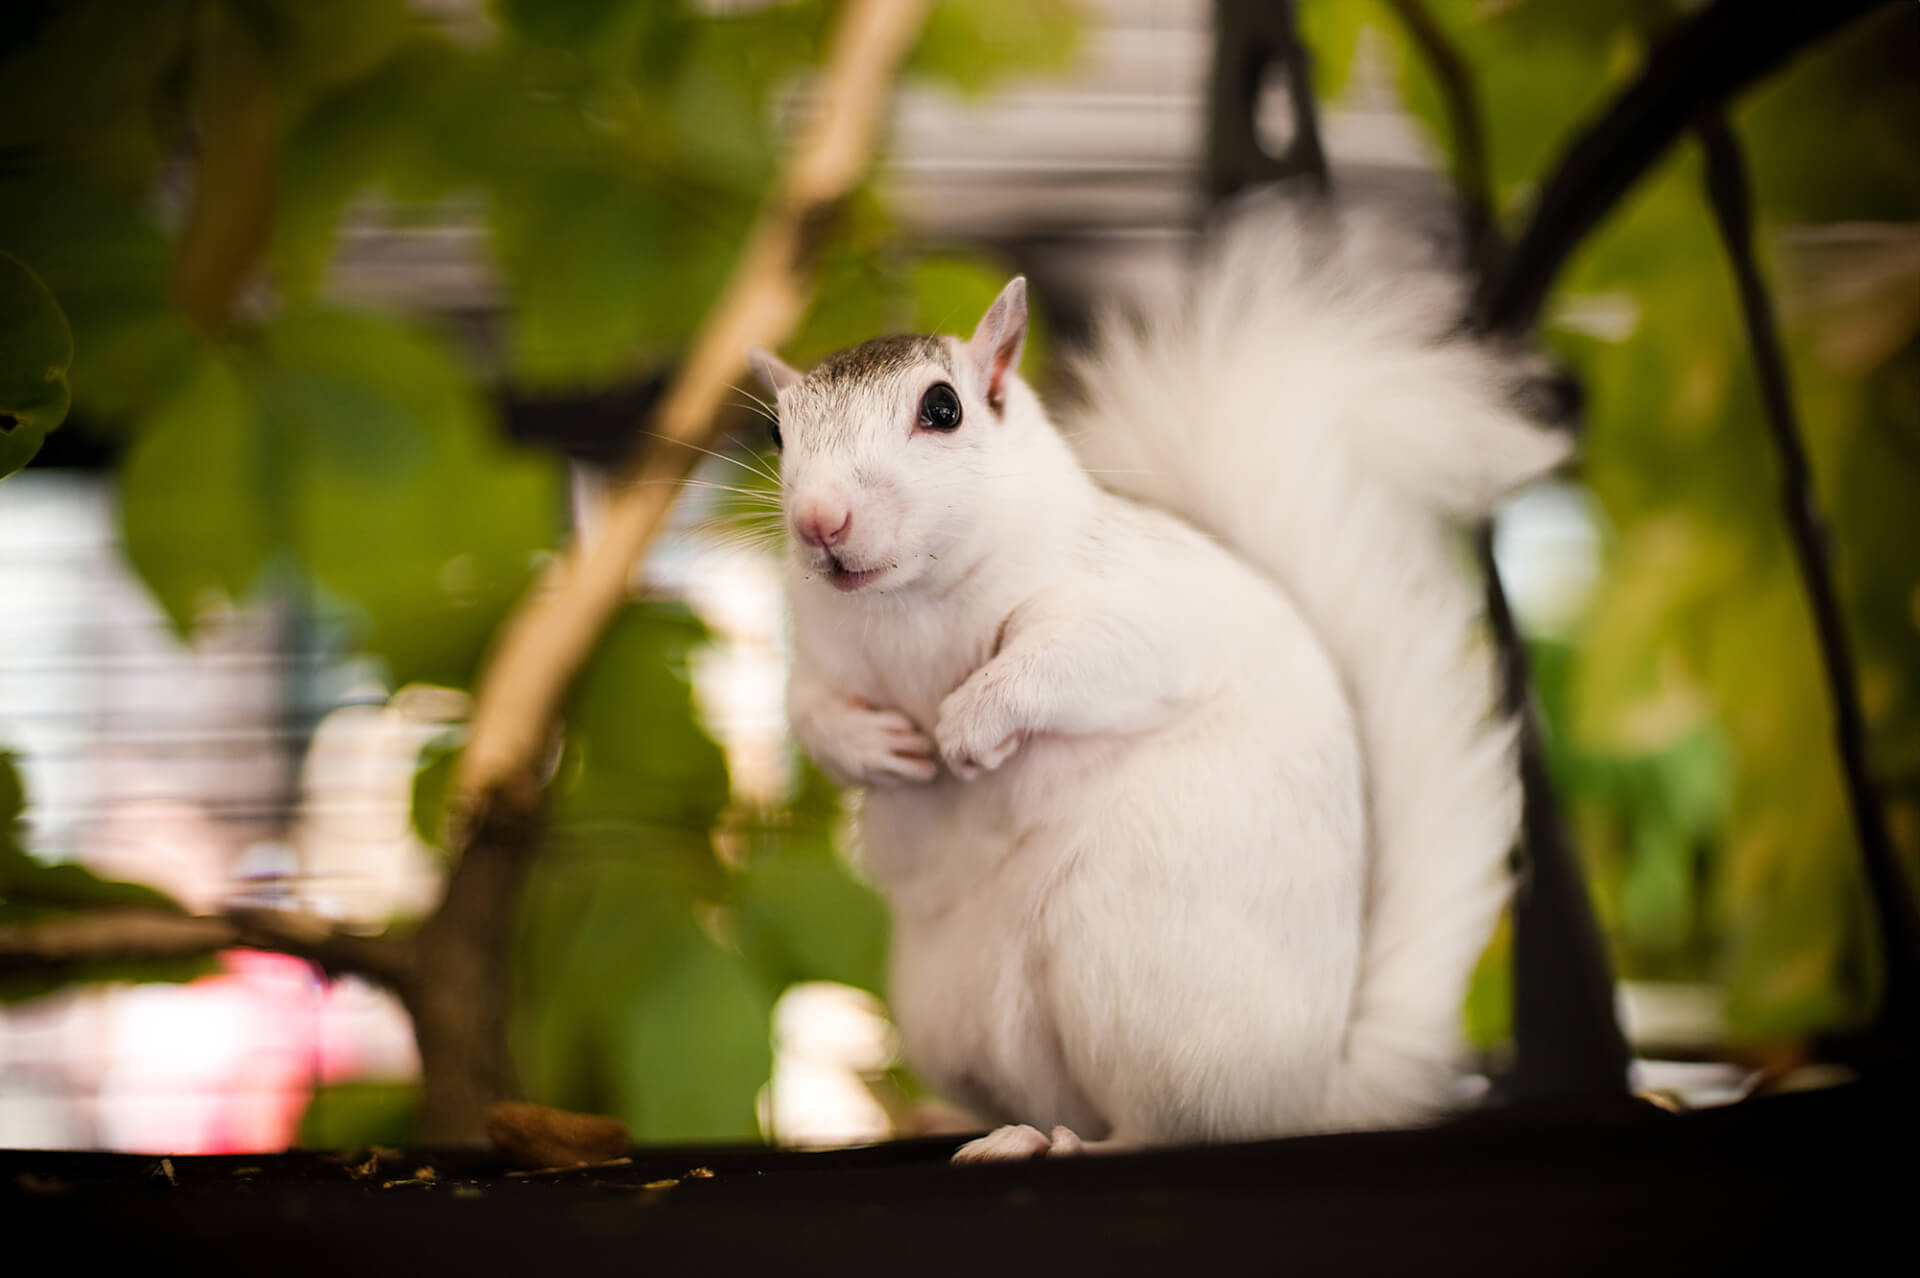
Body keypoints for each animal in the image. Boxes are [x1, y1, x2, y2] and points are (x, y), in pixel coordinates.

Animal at [747, 193, 1572, 1162]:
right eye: (777, 433)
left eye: (942, 408)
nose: (819, 521)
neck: (909, 607)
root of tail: (1303, 1100)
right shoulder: (818, 657)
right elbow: (809, 714)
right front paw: (873, 748)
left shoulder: (1135, 611)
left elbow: (1077, 661)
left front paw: (971, 722)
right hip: (952, 1013)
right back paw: (982, 1127)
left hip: (1127, 958)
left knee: (1160, 1127)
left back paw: (1066, 1145)